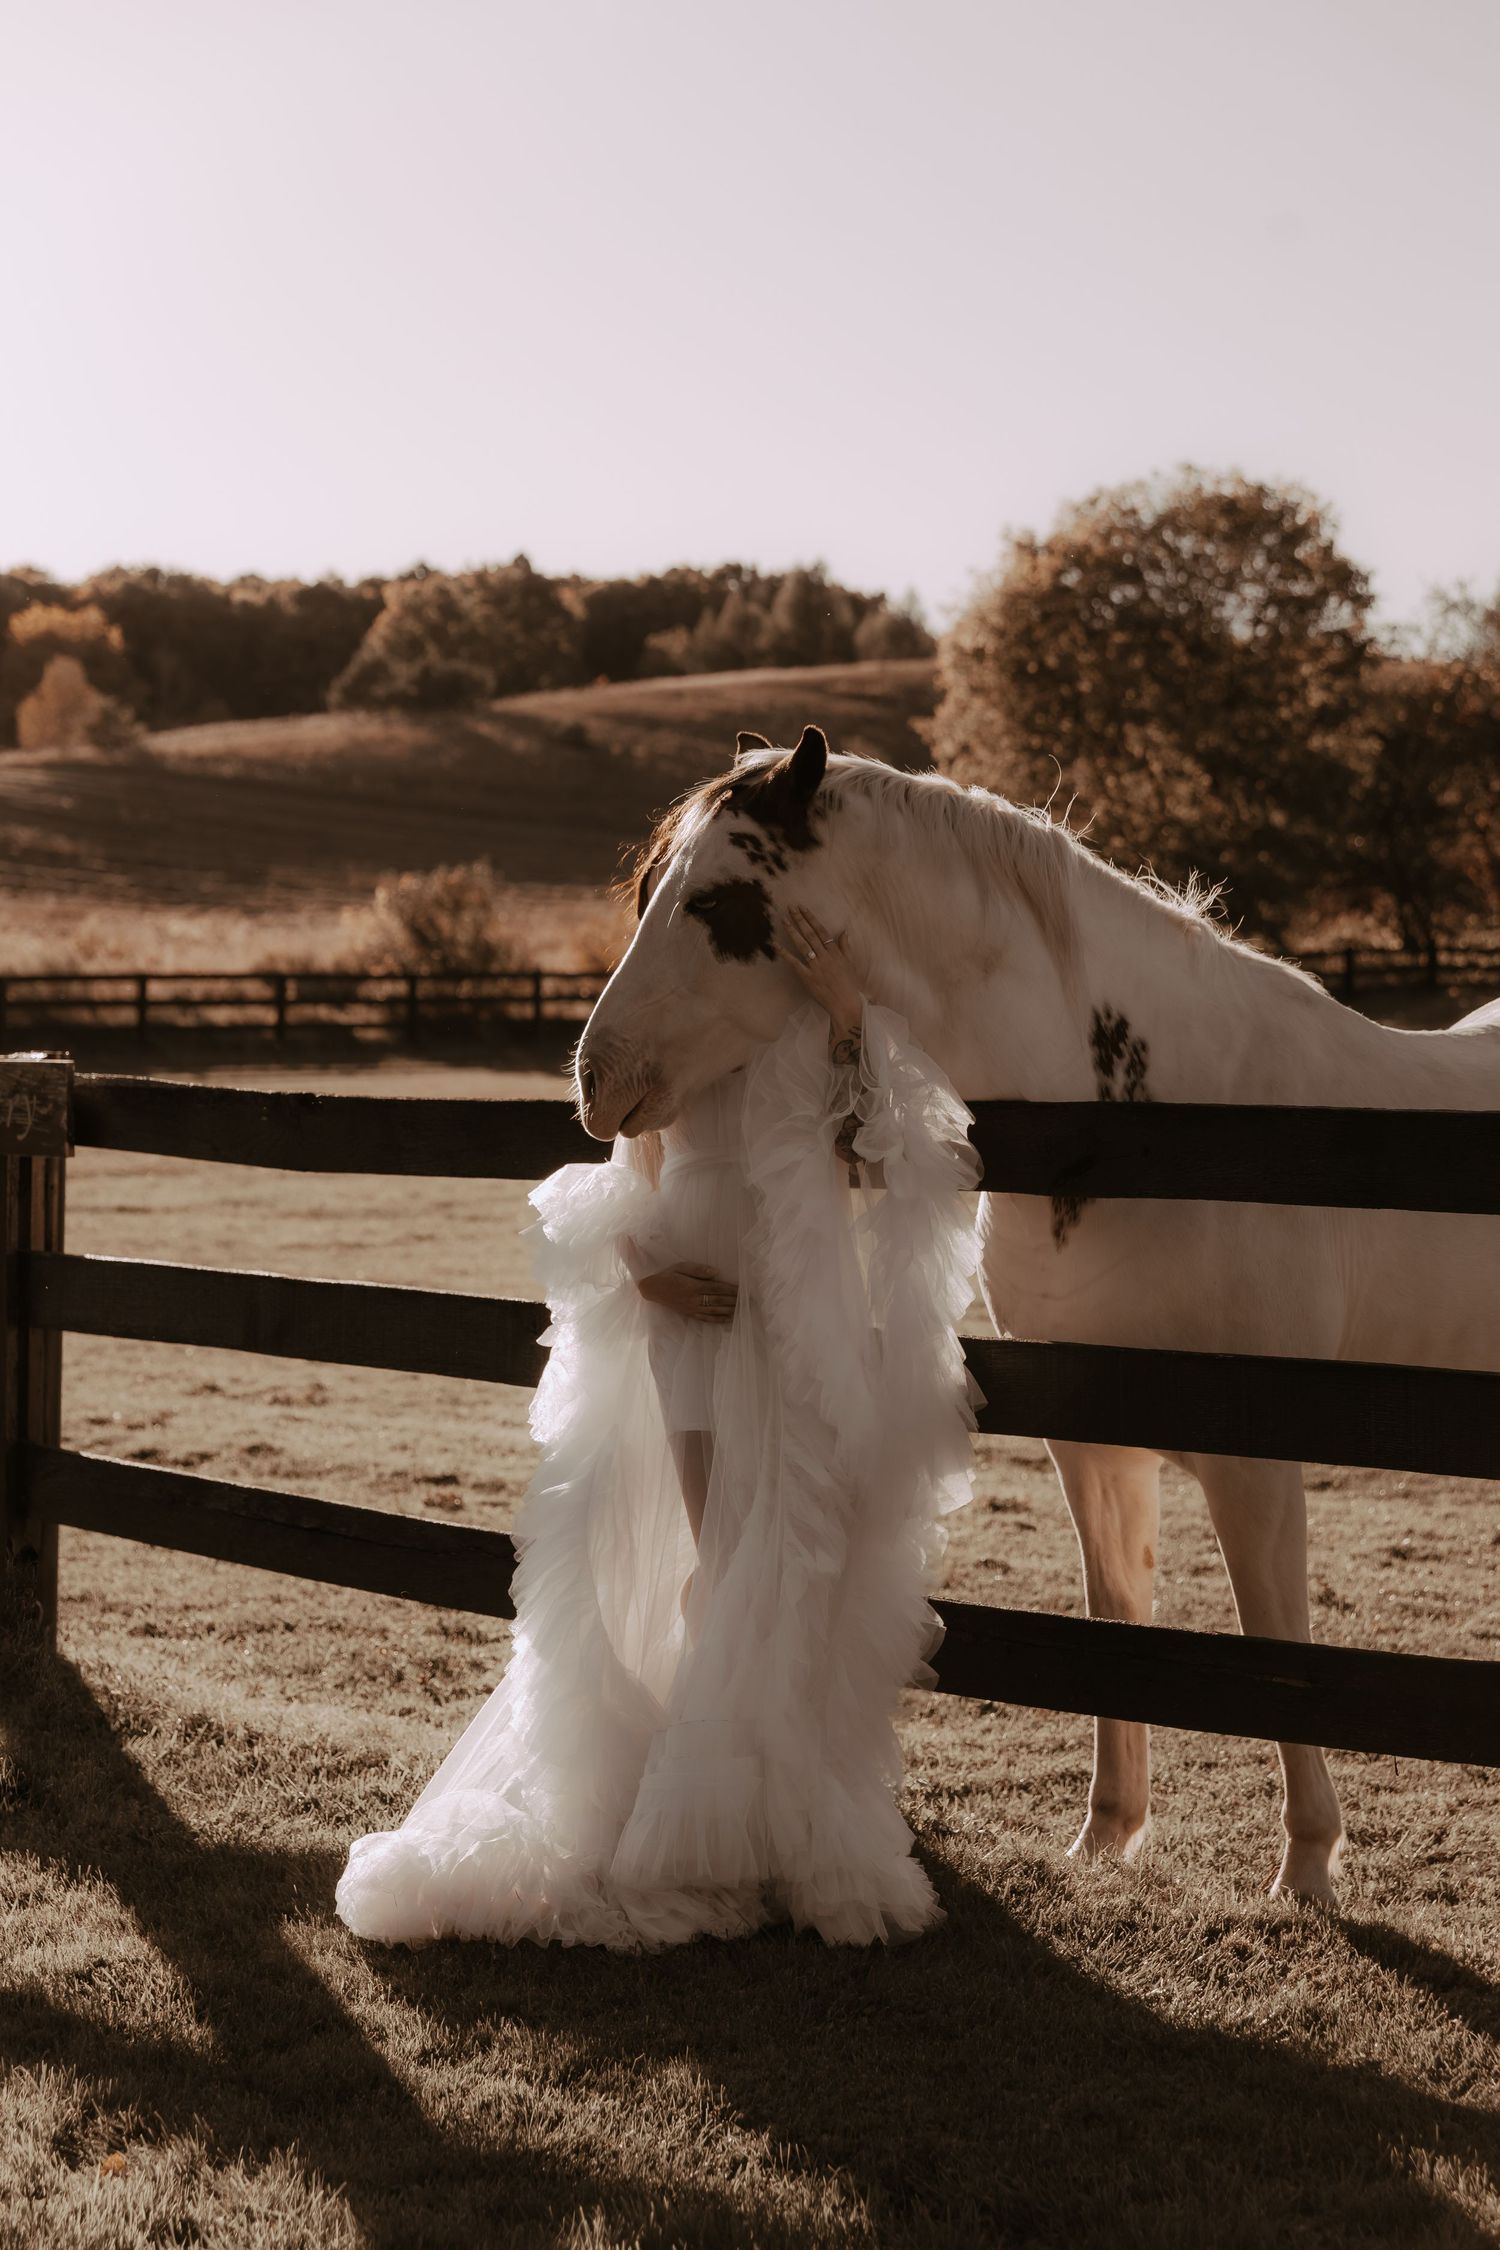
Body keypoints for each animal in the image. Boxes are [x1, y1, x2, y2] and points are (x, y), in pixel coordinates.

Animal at [574, 723, 1500, 1902]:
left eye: (718, 903)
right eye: (653, 887)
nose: (596, 1077)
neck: (1155, 1131)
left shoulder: (1254, 1461)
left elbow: (1273, 1643)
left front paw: (1306, 1864)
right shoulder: (1091, 1442)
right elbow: (1115, 1611)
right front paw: (1108, 1833)